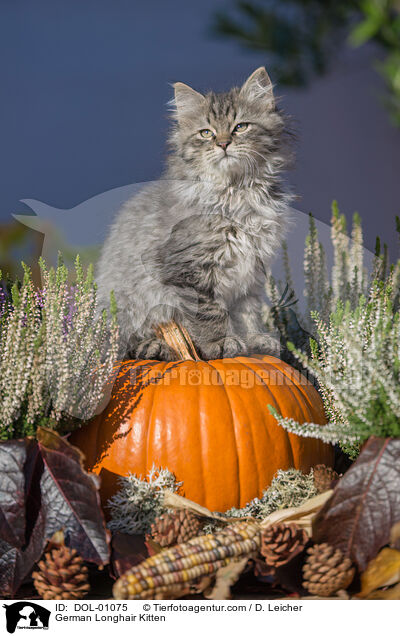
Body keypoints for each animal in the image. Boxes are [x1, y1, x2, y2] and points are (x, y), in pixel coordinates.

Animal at [95, 68, 292, 362]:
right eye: (206, 133)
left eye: (241, 127)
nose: (223, 143)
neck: (236, 193)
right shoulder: (188, 270)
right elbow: (210, 312)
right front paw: (220, 343)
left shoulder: (251, 272)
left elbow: (248, 311)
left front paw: (255, 339)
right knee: (120, 345)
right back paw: (156, 347)